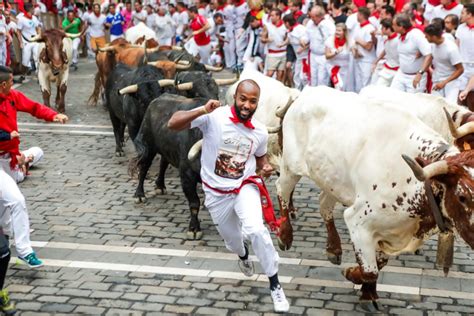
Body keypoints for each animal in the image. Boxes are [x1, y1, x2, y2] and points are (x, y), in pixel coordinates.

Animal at [130, 94, 206, 239]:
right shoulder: (186, 175)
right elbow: (194, 203)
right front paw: (194, 229)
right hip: (148, 147)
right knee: (144, 168)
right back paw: (139, 195)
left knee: (163, 163)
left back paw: (160, 186)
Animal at [276, 86, 474, 312]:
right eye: (462, 197)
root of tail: (304, 93)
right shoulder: (358, 220)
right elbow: (370, 270)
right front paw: (355, 277)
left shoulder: (387, 230)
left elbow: (378, 264)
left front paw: (367, 291)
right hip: (290, 166)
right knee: (282, 191)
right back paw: (285, 236)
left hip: (333, 181)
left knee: (324, 204)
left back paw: (333, 248)